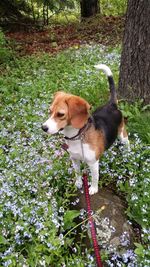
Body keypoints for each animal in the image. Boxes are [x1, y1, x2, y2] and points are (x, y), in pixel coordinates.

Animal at [42, 64, 129, 196]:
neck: (77, 136)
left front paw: (93, 188)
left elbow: (95, 177)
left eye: (60, 114)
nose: (43, 128)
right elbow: (77, 173)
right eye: (49, 111)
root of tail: (112, 104)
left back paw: (128, 154)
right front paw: (78, 183)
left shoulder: (93, 163)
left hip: (122, 134)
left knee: (127, 142)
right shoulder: (74, 159)